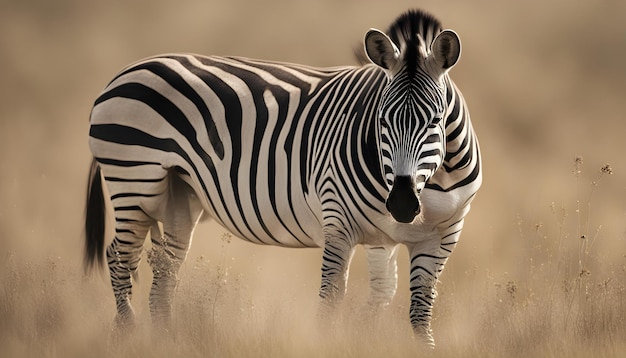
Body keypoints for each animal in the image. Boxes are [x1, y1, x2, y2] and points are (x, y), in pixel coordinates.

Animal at [83, 9, 480, 346]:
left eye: (435, 120)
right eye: (380, 119)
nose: (401, 204)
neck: (435, 181)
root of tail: (127, 71)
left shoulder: (437, 237)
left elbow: (411, 309)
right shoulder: (339, 221)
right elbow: (331, 301)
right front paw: (329, 346)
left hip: (179, 193)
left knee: (165, 268)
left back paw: (165, 340)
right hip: (134, 180)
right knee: (120, 256)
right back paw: (127, 334)